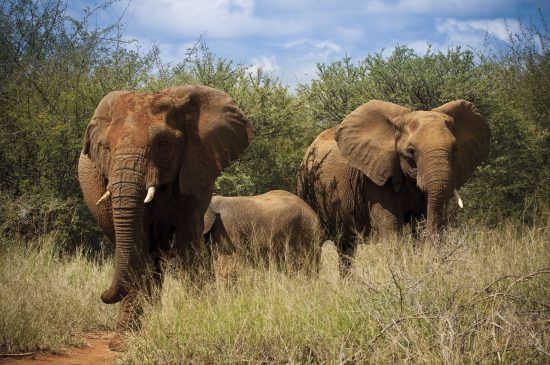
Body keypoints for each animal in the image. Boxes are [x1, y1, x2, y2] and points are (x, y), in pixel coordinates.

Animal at [77, 84, 254, 348]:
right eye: (106, 148)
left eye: (162, 143)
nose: (102, 295)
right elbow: (138, 246)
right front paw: (123, 343)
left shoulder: (196, 167)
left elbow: (189, 242)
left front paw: (198, 324)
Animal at [300, 99, 494, 272]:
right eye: (411, 151)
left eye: (455, 150)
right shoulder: (374, 178)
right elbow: (391, 227)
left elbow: (421, 223)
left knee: (346, 247)